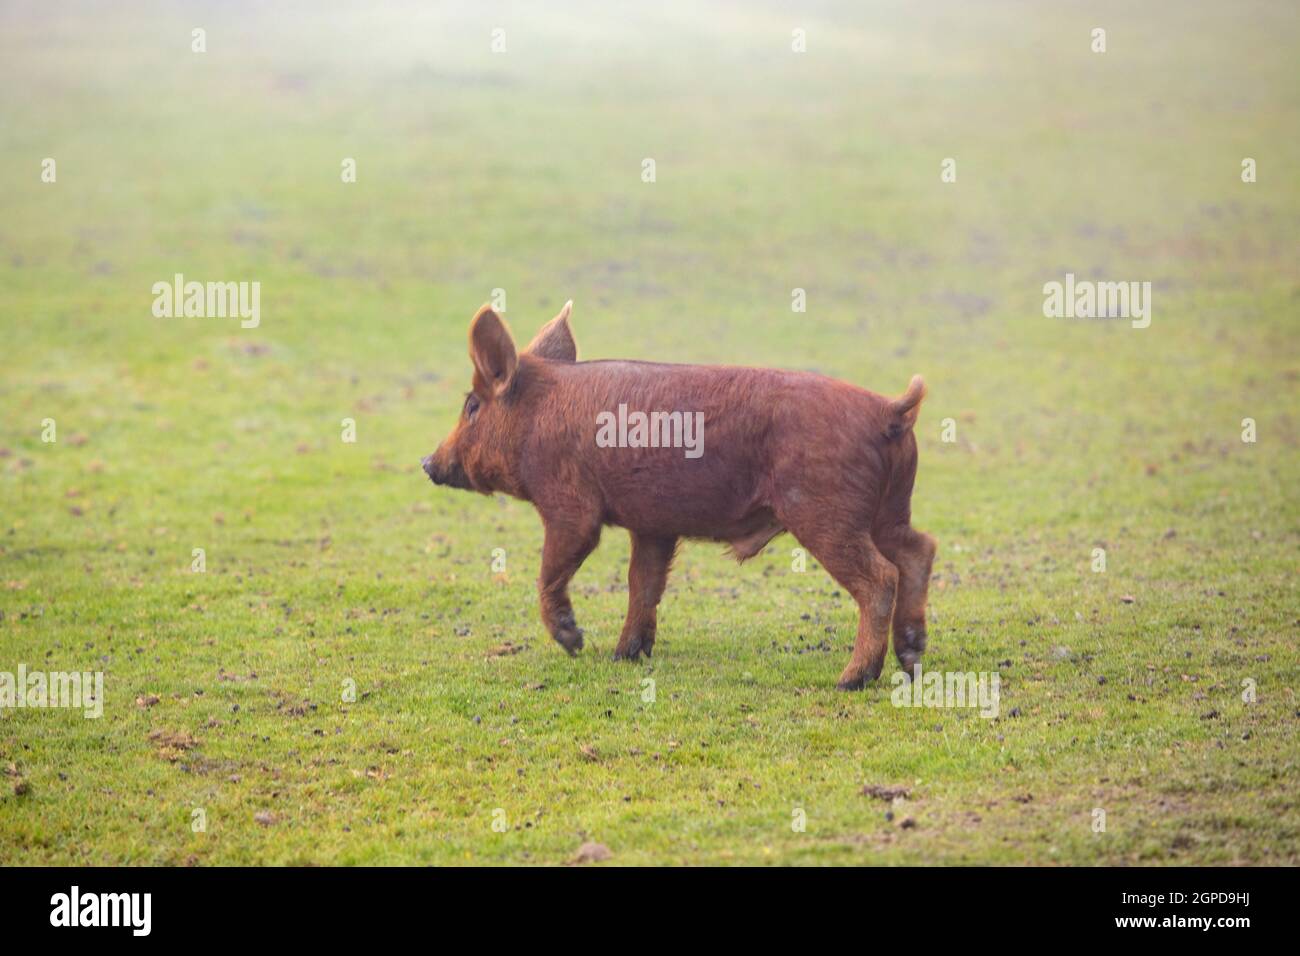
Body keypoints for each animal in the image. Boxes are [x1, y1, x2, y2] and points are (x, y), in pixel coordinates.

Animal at [421, 303, 941, 691]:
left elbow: (553, 569)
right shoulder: (653, 526)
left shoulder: (570, 506)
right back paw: (910, 660)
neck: (535, 418)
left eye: (472, 406)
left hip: (825, 511)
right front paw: (624, 655)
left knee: (881, 576)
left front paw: (576, 644)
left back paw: (851, 680)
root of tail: (889, 411)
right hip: (889, 510)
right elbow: (643, 584)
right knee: (920, 549)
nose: (427, 463)